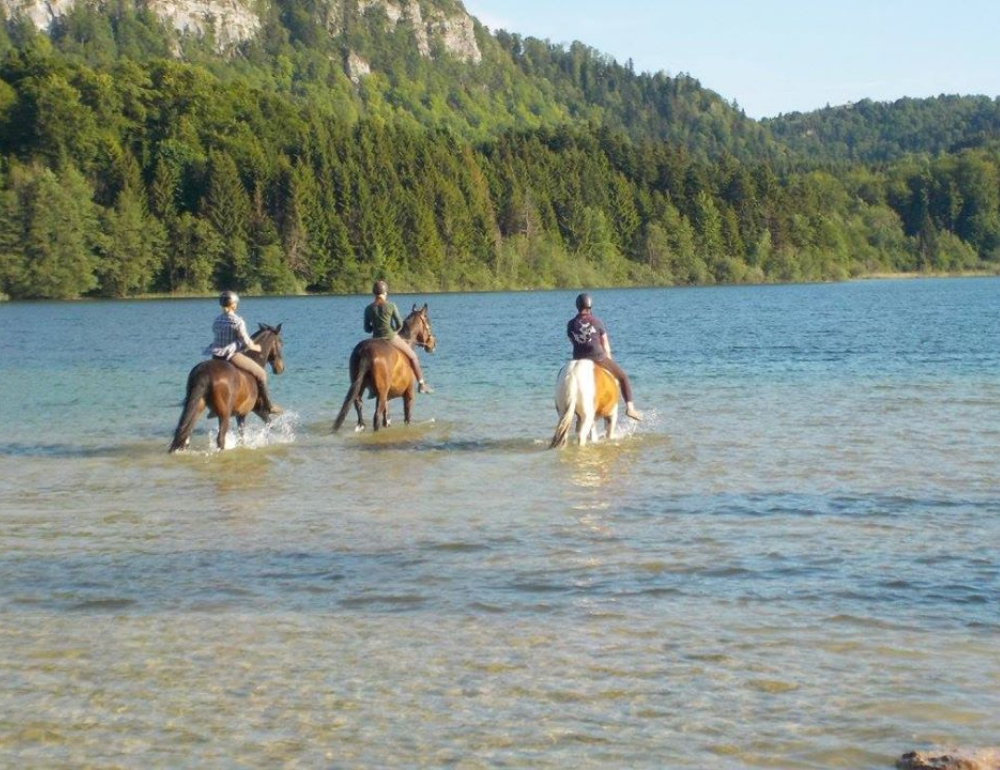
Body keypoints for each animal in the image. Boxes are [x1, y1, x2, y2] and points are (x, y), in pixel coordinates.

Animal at [169, 322, 286, 452]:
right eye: (280, 342)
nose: (280, 368)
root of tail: (205, 372)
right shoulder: (256, 409)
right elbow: (268, 423)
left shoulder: (242, 414)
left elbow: (243, 435)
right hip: (224, 414)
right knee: (220, 438)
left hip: (198, 406)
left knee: (186, 433)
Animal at [334, 302, 436, 432]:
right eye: (428, 323)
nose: (432, 344)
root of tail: (365, 350)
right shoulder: (408, 394)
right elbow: (407, 417)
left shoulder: (387, 397)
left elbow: (386, 418)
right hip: (381, 394)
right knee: (376, 416)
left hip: (361, 387)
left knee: (359, 405)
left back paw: (361, 426)